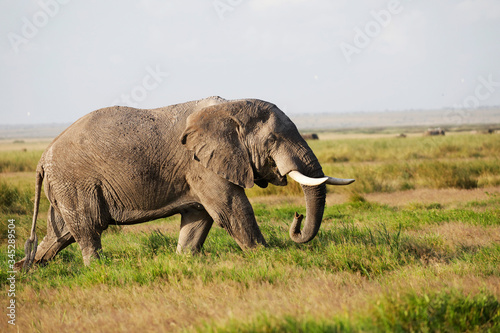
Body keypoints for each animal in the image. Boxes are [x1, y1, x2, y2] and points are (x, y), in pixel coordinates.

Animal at [15, 95, 354, 270]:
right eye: (273, 140)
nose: (295, 219)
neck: (230, 107)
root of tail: (43, 156)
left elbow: (198, 218)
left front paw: (185, 260)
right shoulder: (200, 164)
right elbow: (231, 210)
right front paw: (266, 256)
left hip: (65, 185)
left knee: (61, 233)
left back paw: (28, 269)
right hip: (74, 181)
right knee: (87, 228)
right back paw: (98, 269)